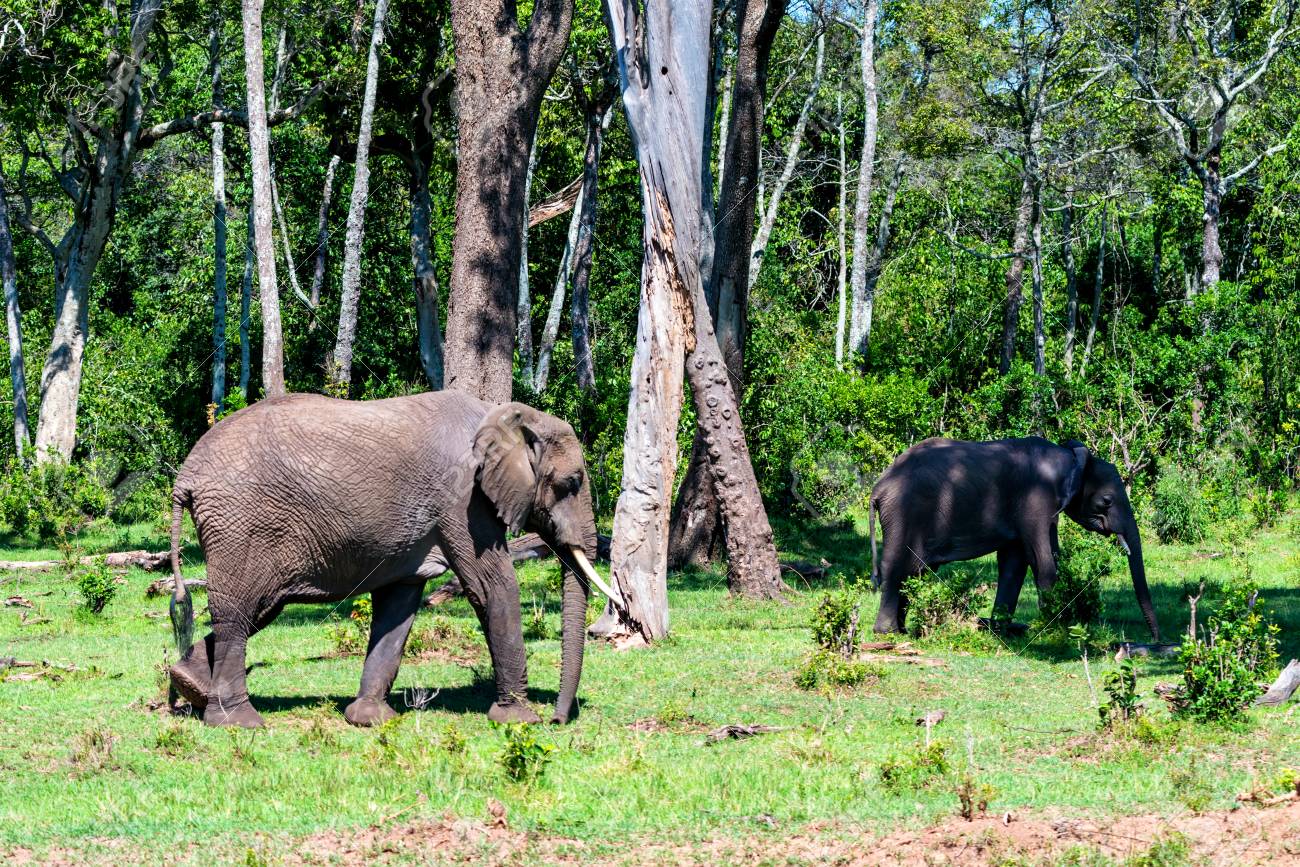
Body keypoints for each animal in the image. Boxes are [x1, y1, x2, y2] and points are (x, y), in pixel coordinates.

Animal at [166, 391, 613, 728]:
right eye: (571, 483)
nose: (557, 719)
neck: (503, 415)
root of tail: (186, 476)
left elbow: (399, 603)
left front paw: (369, 719)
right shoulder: (462, 499)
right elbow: (493, 587)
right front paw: (519, 720)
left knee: (255, 609)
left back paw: (188, 685)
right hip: (240, 524)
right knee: (240, 612)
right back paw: (239, 723)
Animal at [867, 436, 1159, 640]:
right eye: (1107, 501)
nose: (1156, 640)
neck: (1071, 457)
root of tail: (878, 487)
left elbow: (1014, 564)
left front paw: (999, 630)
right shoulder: (1036, 498)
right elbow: (1042, 562)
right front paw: (1052, 629)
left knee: (916, 571)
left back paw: (902, 630)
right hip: (904, 511)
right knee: (899, 566)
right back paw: (887, 633)